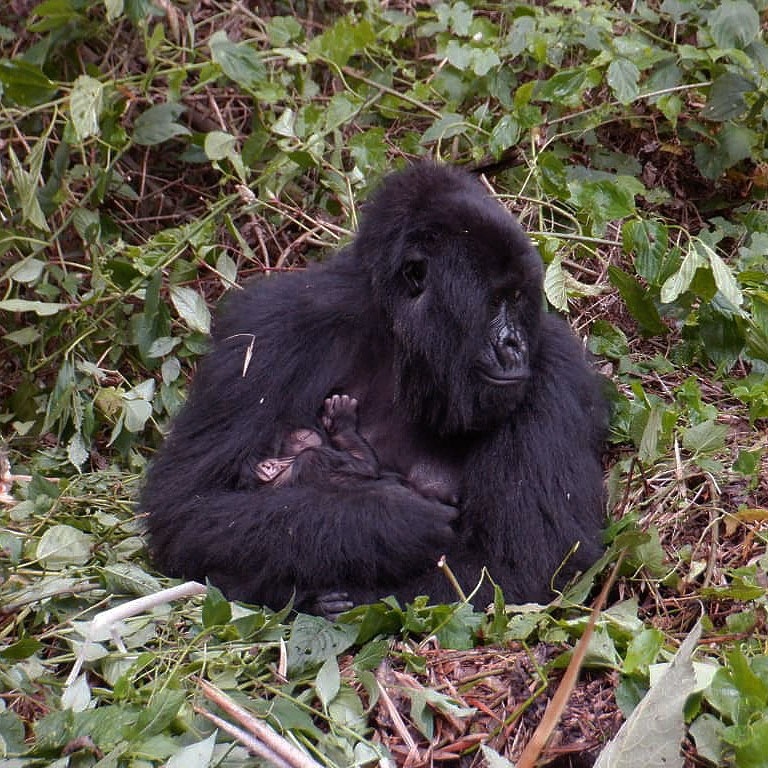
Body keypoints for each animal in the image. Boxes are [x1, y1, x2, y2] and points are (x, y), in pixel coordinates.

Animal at [141, 162, 608, 612]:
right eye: (495, 301)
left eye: (517, 297)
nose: (515, 346)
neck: (400, 338)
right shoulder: (271, 326)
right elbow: (189, 506)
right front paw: (394, 519)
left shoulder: (555, 366)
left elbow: (525, 564)